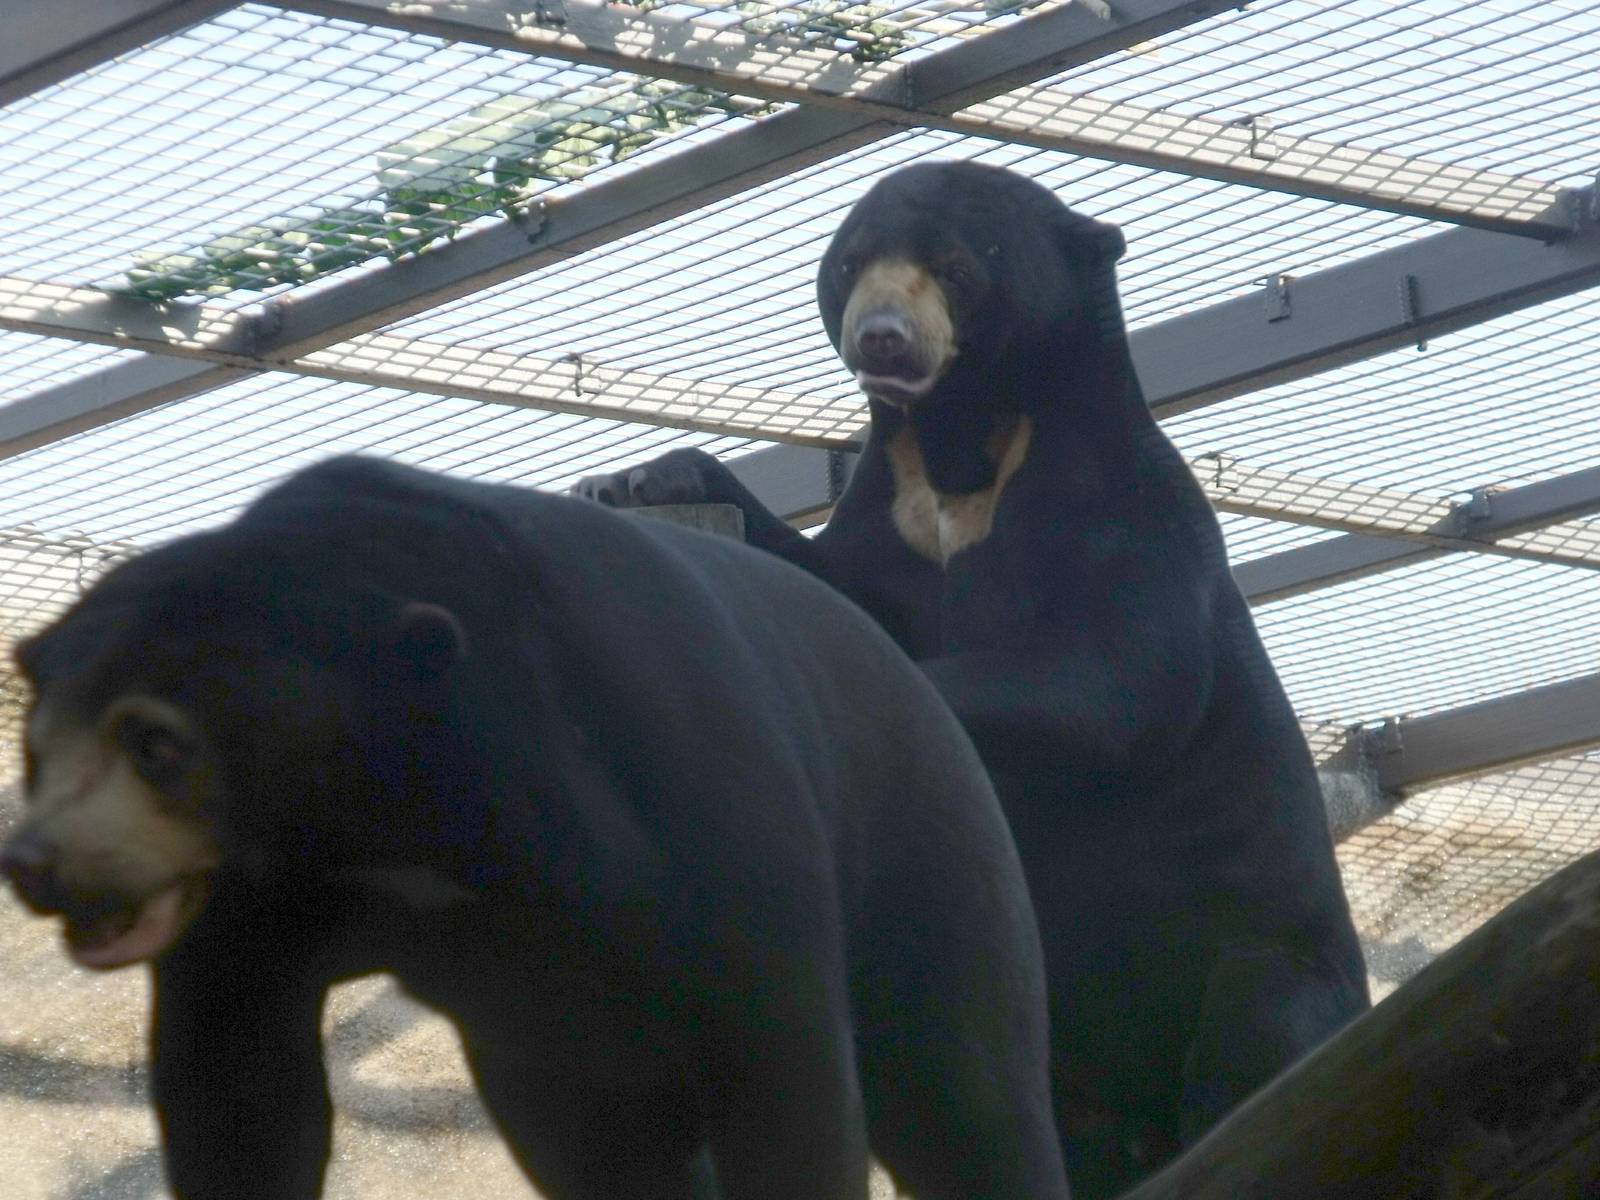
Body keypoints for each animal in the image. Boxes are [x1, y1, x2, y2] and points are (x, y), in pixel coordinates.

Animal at [0, 455, 1070, 1200]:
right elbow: (237, 1088)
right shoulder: (253, 908)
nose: (35, 862)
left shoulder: (694, 797)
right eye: (36, 749)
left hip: (934, 855)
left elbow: (785, 1071)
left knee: (968, 1099)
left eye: (155, 743)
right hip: (552, 1043)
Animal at [574, 160, 1372, 1198]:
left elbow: (1110, 684)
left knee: (1262, 1027)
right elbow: (834, 582)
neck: (963, 449)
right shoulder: (892, 522)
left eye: (955, 268)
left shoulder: (1129, 511)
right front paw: (638, 479)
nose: (881, 337)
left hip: (1260, 945)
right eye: (851, 262)